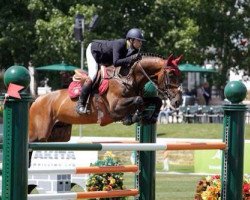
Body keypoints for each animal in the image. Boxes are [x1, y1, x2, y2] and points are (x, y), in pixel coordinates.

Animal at [28, 53, 182, 142]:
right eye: (171, 74)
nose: (178, 101)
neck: (127, 78)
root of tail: (37, 100)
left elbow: (156, 100)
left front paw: (150, 117)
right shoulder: (114, 109)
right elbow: (138, 101)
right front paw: (133, 117)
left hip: (57, 135)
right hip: (37, 134)